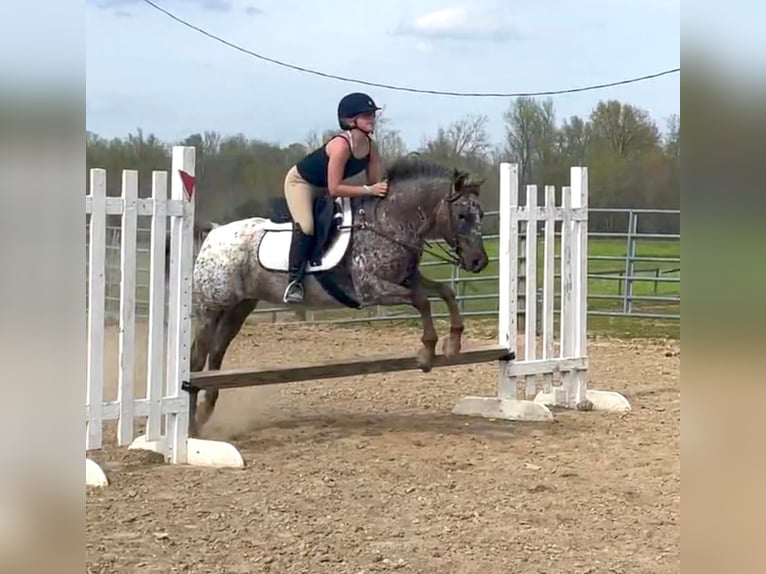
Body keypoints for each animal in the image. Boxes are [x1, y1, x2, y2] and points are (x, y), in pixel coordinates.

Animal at [188, 158, 488, 436]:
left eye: (481, 214)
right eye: (462, 215)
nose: (479, 262)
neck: (389, 223)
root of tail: (213, 234)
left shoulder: (408, 279)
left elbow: (444, 292)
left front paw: (453, 344)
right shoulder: (372, 289)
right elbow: (422, 301)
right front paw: (427, 352)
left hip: (239, 307)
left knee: (216, 354)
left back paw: (204, 412)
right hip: (210, 307)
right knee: (197, 359)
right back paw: (191, 424)